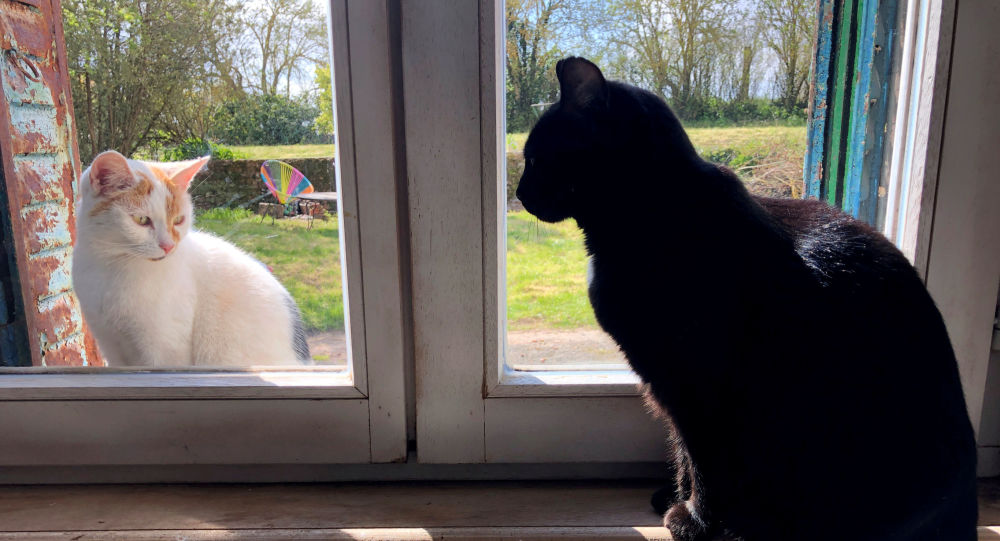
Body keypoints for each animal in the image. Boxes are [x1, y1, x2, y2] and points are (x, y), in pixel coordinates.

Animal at [73, 150, 311, 367]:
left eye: (179, 220)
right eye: (141, 220)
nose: (168, 246)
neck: (111, 265)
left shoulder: (166, 349)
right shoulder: (110, 343)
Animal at [515, 57, 977, 541]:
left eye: (537, 158)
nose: (519, 193)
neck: (658, 211)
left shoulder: (697, 385)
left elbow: (703, 462)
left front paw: (695, 519)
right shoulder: (668, 385)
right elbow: (681, 451)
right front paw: (678, 500)